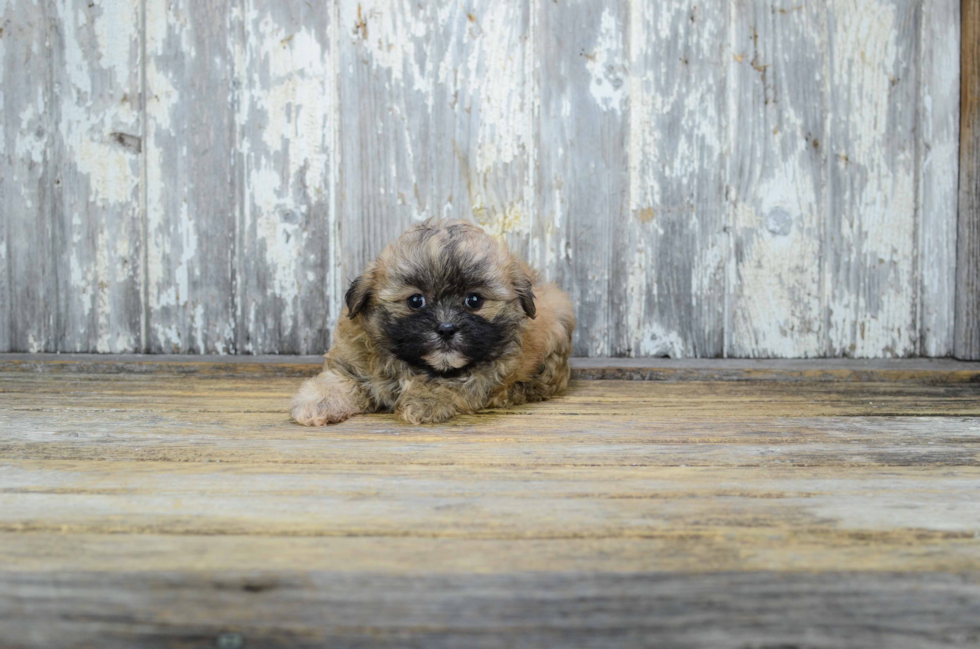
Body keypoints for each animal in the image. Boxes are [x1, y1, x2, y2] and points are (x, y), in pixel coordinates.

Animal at [294, 219, 580, 426]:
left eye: (474, 300)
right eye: (415, 301)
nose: (446, 328)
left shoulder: (490, 371)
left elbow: (453, 384)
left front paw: (425, 399)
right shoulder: (354, 360)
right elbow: (339, 378)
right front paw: (318, 399)